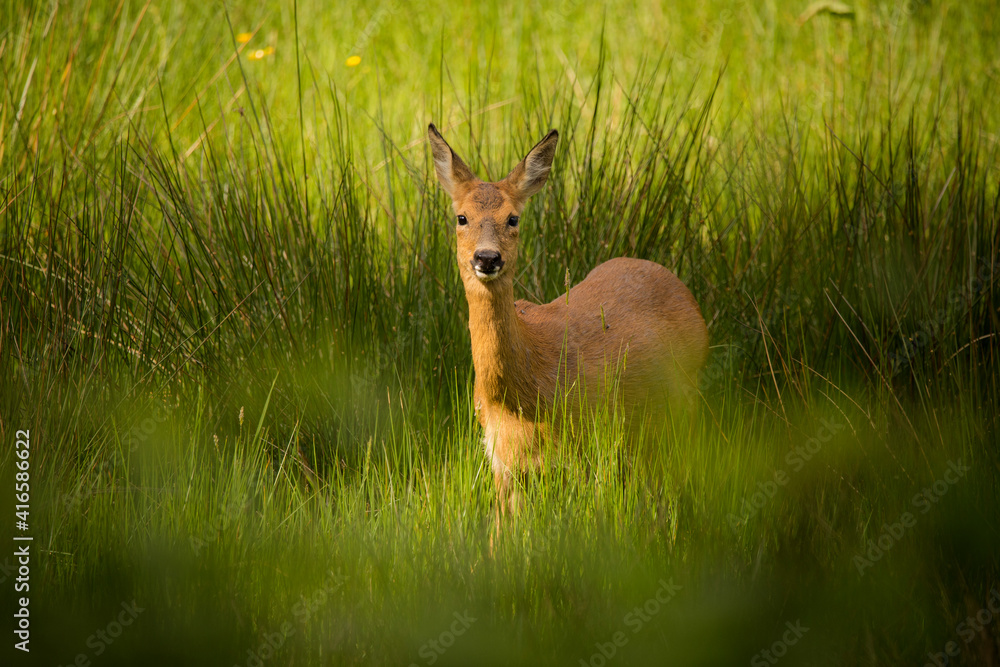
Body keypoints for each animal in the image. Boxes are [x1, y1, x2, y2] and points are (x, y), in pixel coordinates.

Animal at [426, 124, 708, 516]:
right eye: (461, 217)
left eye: (513, 218)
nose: (487, 257)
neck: (522, 395)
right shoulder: (501, 458)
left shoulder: (585, 443)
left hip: (681, 402)